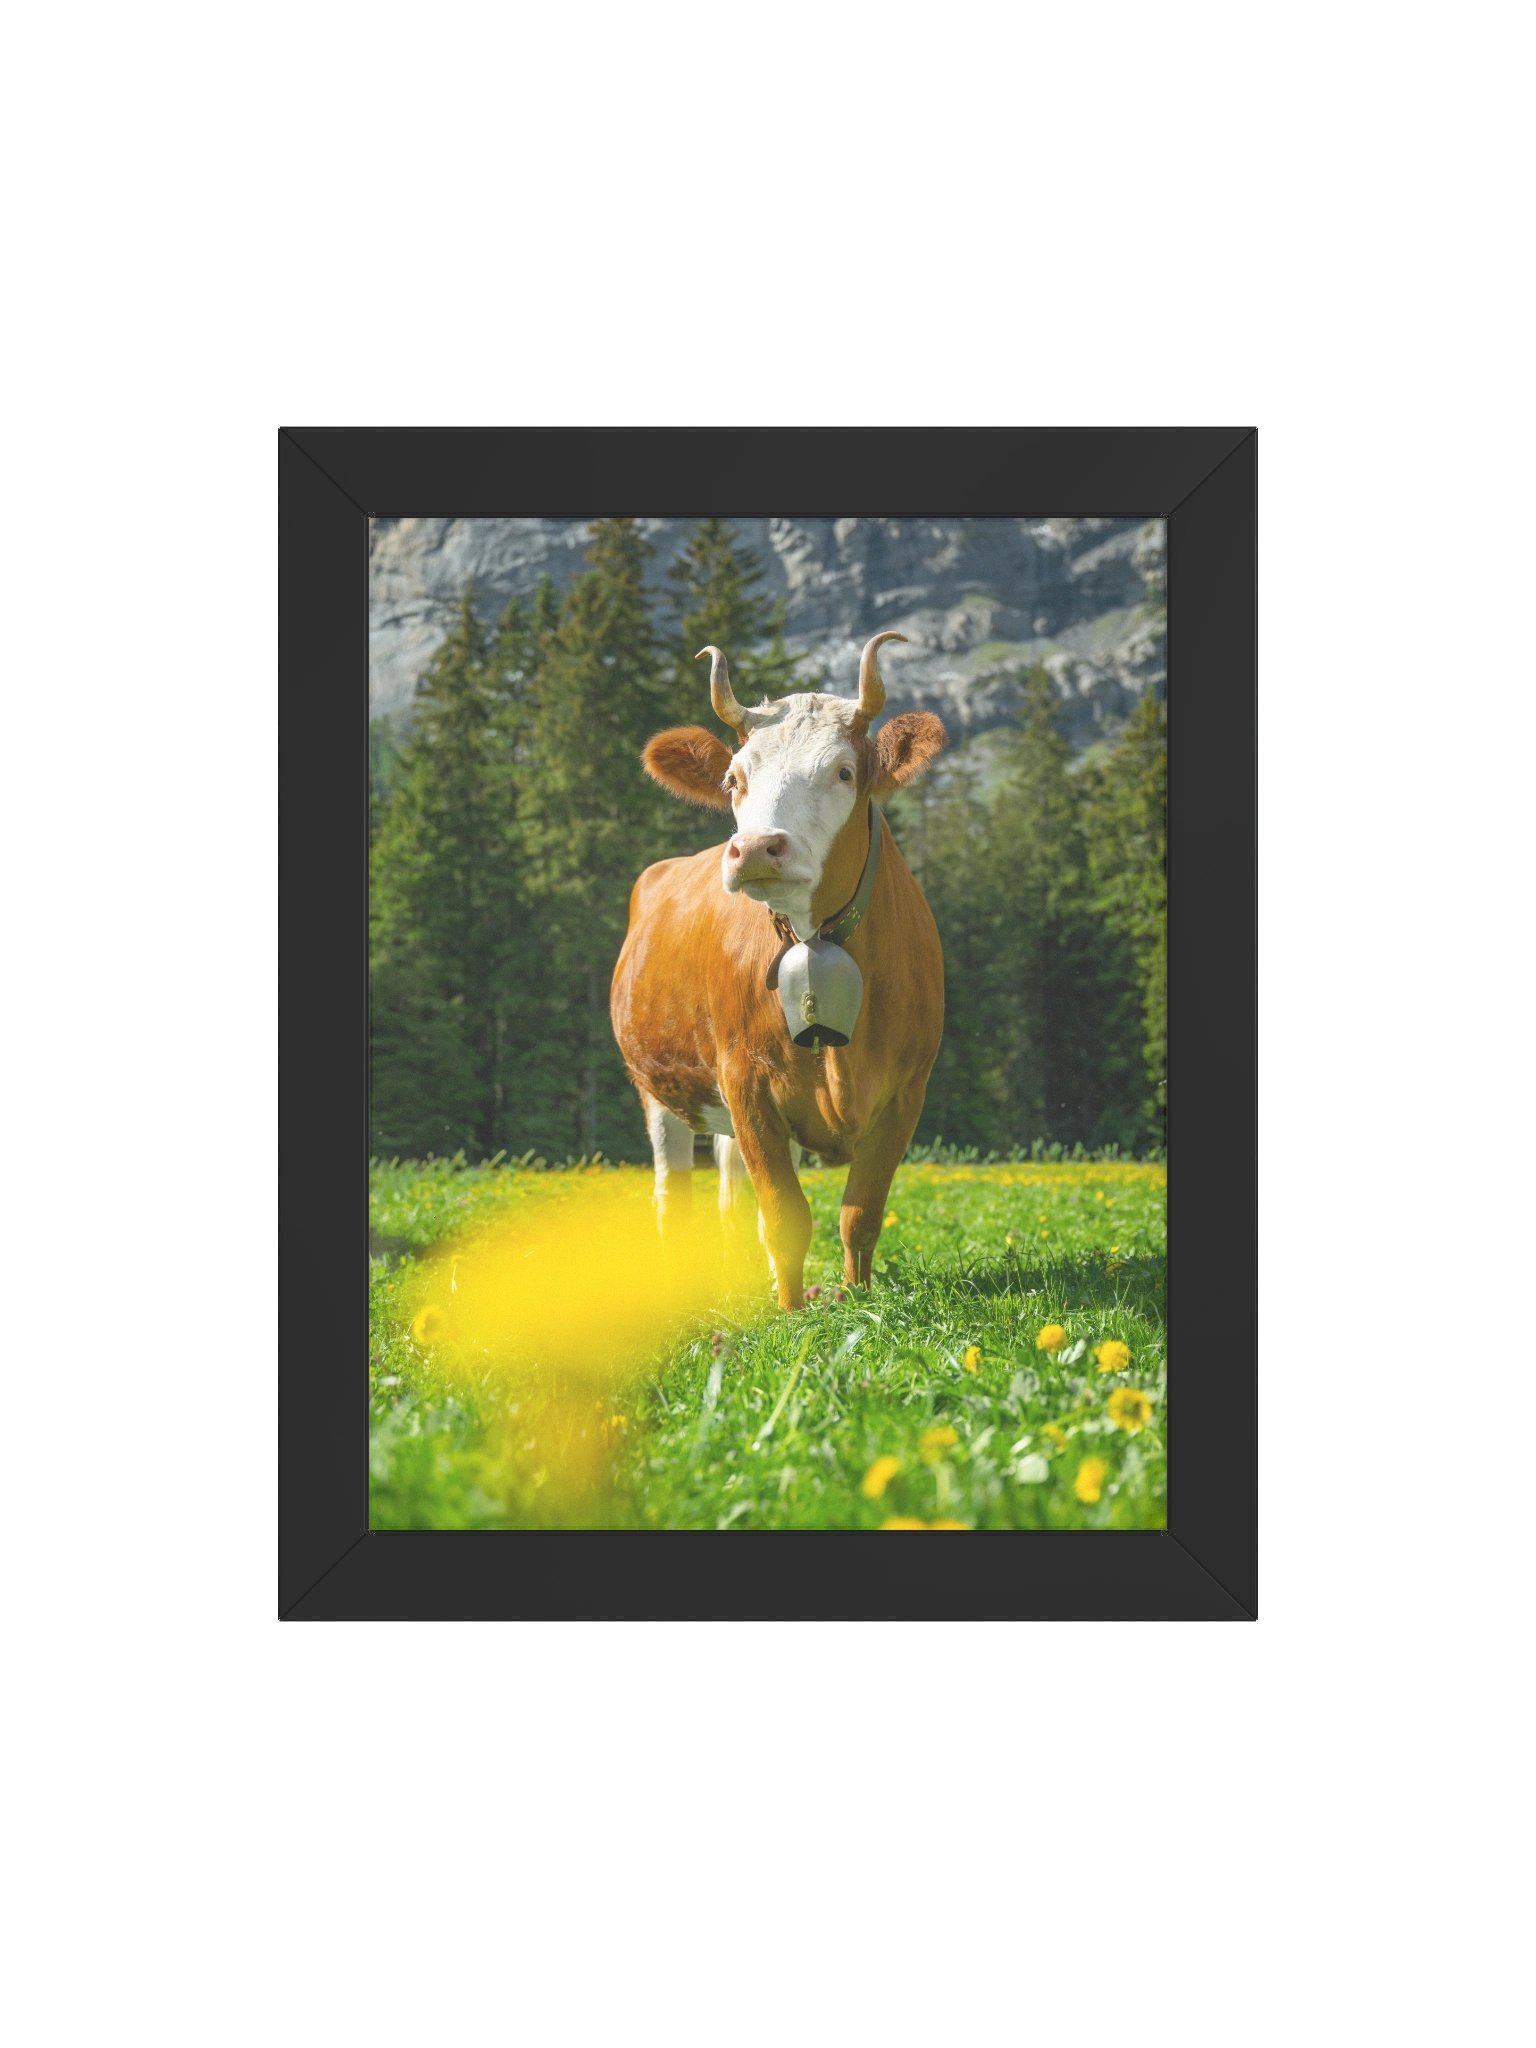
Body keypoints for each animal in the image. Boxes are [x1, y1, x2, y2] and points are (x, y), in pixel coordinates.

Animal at [610, 632, 947, 1309]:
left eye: (843, 772)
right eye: (733, 778)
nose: (756, 849)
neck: (816, 940)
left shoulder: (907, 1089)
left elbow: (860, 1212)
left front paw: (854, 1296)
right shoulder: (745, 1079)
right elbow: (786, 1214)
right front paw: (791, 1311)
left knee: (729, 1188)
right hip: (659, 1089)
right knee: (673, 1196)